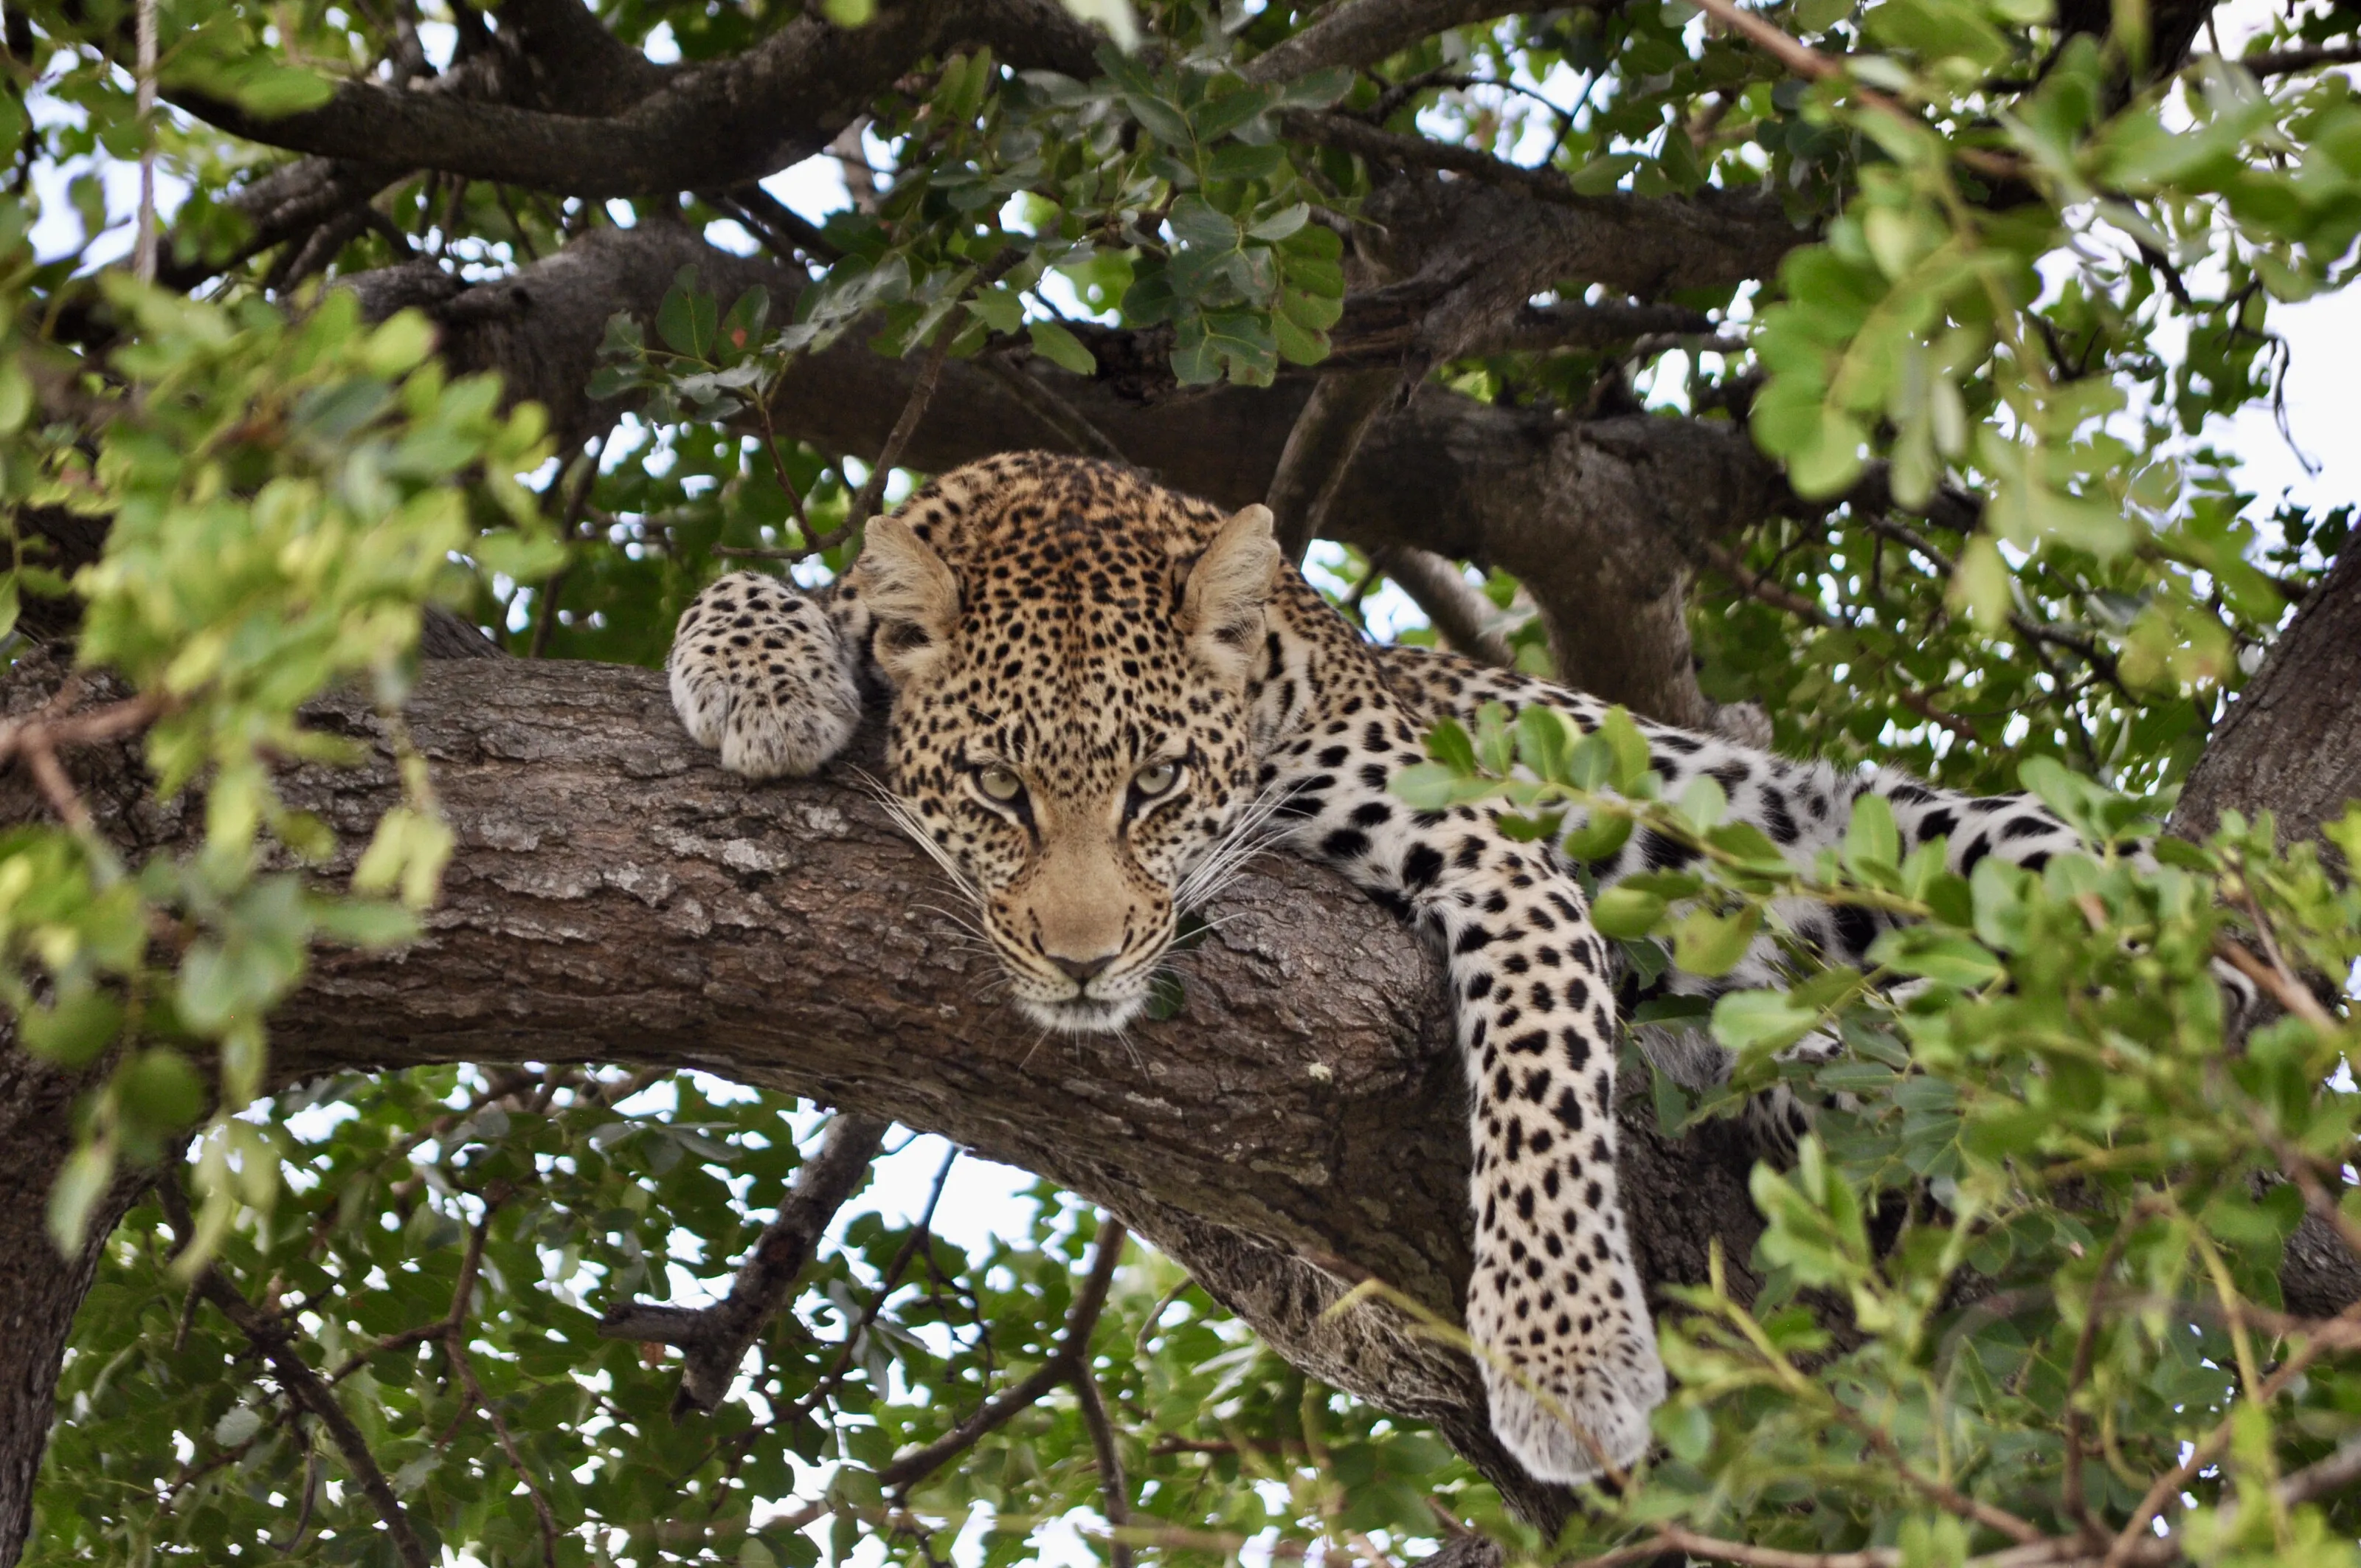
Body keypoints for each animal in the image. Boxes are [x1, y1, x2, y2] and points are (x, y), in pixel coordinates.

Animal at [666, 450, 2140, 1486]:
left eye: (1156, 785)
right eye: (996, 788)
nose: (1085, 963)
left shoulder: (1501, 856)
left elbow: (1543, 1089)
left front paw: (1568, 1356)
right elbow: (741, 580)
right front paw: (769, 679)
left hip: (1916, 837)